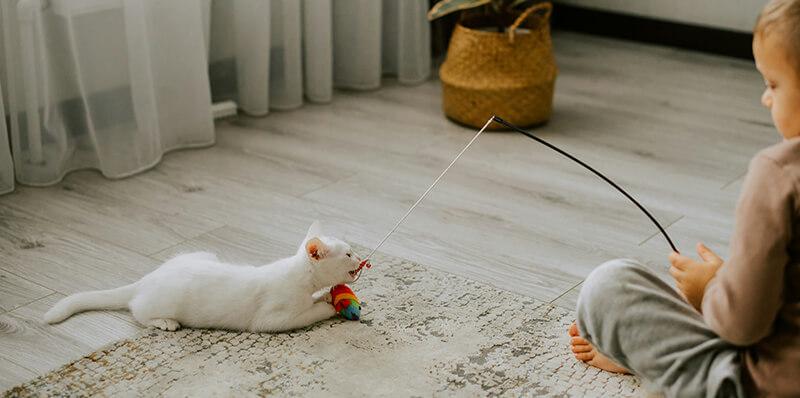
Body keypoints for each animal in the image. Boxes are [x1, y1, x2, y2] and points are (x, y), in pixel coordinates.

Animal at [43, 221, 362, 332]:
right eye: (347, 254)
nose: (360, 258)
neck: (300, 279)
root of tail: (148, 277)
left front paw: (325, 296)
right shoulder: (270, 320)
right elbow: (307, 314)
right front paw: (326, 307)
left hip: (204, 253)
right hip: (161, 302)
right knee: (137, 311)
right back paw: (164, 322)